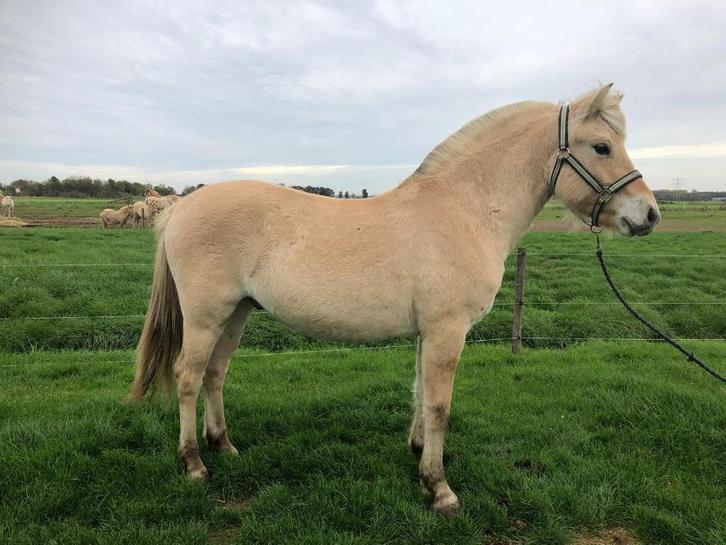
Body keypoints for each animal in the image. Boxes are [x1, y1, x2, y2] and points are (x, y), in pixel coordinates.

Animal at [131, 84, 659, 514]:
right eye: (602, 146)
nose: (650, 214)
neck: (465, 209)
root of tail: (180, 208)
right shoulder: (448, 331)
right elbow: (441, 404)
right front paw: (440, 490)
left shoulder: (430, 333)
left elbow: (422, 395)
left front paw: (419, 458)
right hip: (206, 316)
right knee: (187, 377)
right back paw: (194, 464)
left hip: (236, 313)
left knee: (214, 375)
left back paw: (224, 446)